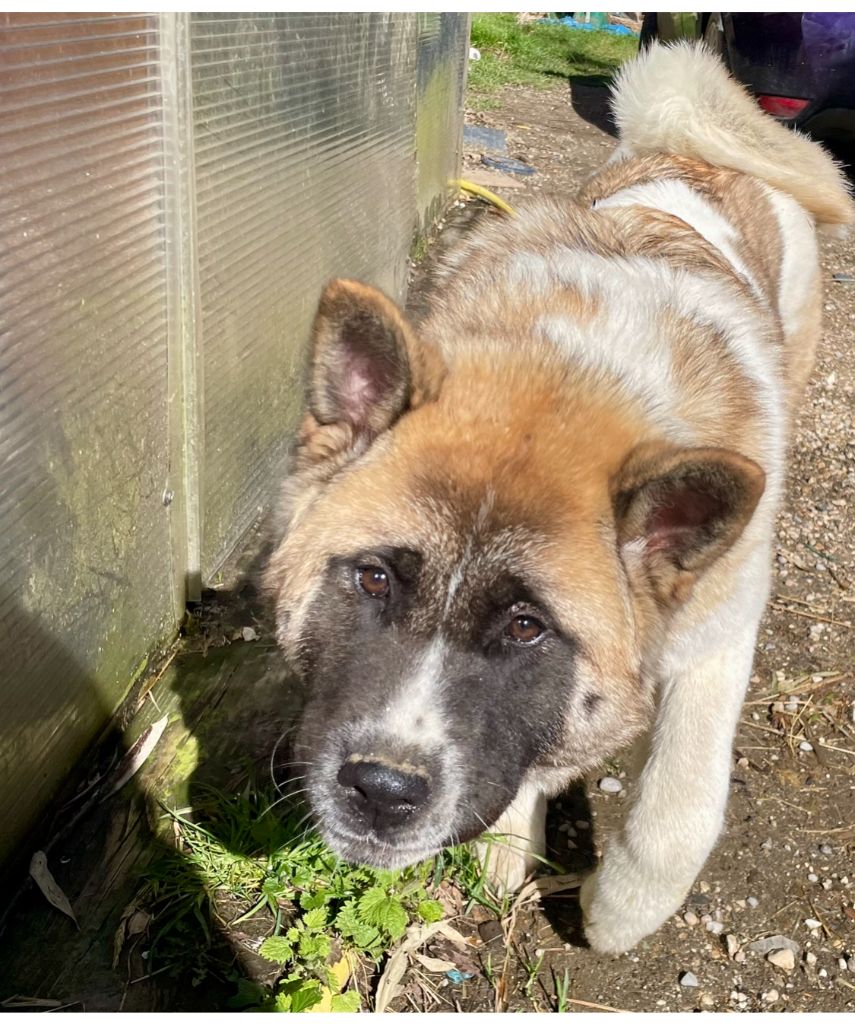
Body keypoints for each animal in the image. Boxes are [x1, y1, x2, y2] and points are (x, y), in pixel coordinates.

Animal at [264, 39, 851, 950]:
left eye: (525, 627)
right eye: (373, 578)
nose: (381, 792)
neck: (571, 369)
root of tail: (696, 152)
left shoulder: (721, 631)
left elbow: (679, 806)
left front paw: (617, 913)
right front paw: (508, 846)